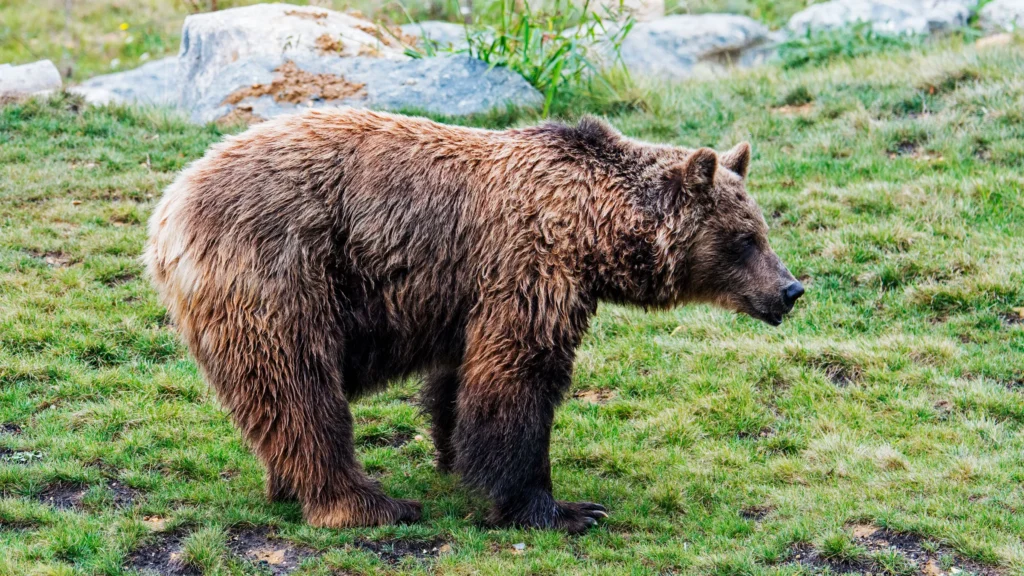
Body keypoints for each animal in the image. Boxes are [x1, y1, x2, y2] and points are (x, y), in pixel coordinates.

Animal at [144, 108, 803, 534]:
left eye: (762, 230)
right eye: (744, 240)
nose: (790, 289)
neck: (593, 232)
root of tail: (169, 209)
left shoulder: (466, 296)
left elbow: (458, 383)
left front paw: (455, 457)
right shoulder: (527, 270)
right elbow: (516, 383)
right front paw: (564, 509)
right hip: (282, 274)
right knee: (301, 392)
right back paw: (368, 504)